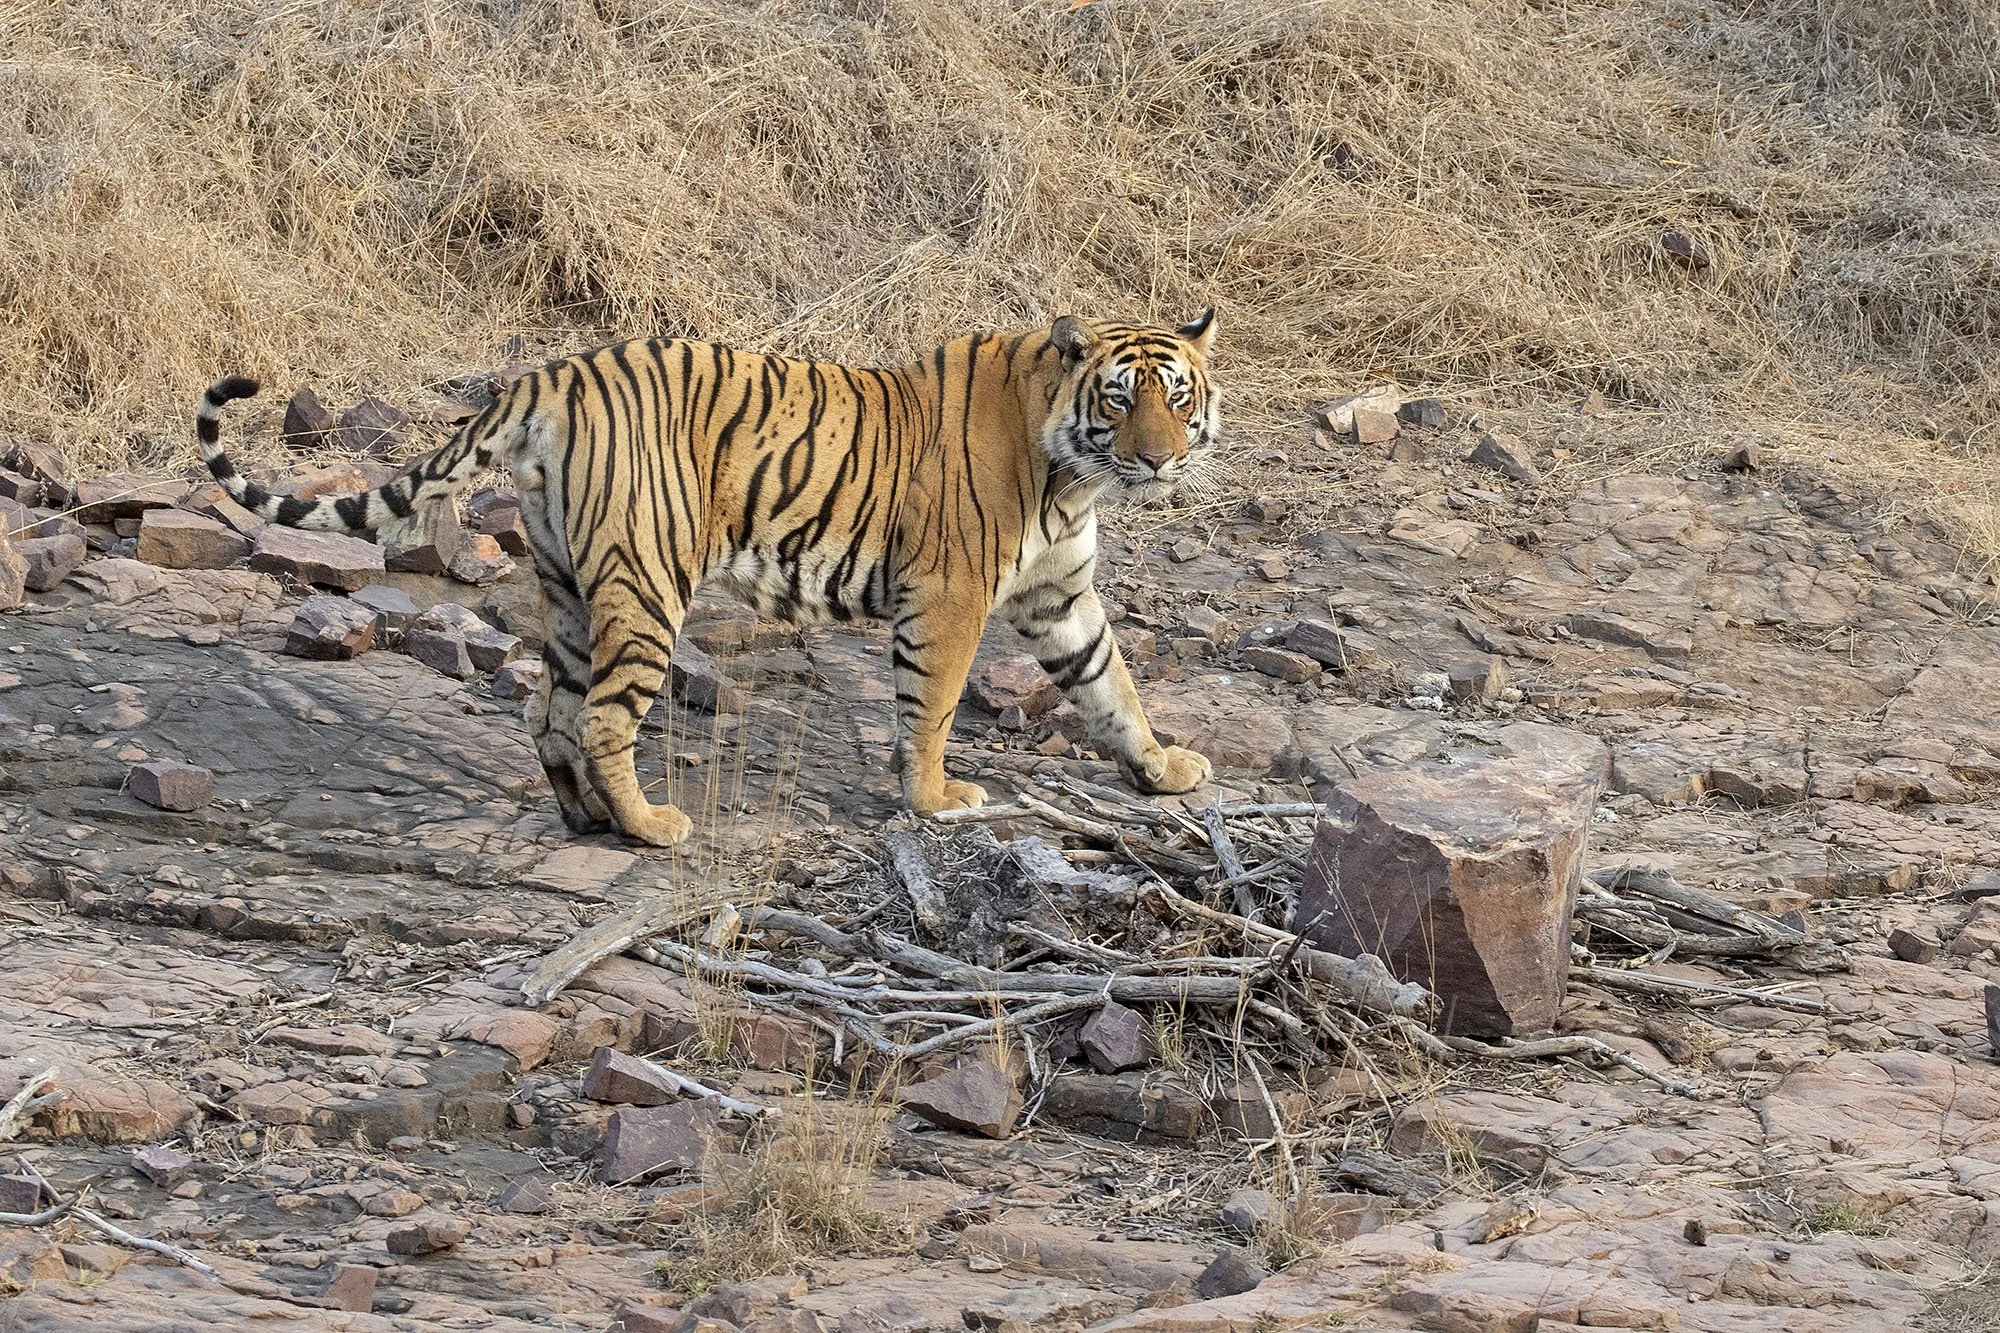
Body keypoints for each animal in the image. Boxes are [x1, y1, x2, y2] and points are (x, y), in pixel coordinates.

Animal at [194, 312, 1221, 846]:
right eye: (1119, 401)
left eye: (1178, 397)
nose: (1161, 460)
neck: (1072, 470)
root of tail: (551, 375)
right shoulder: (951, 596)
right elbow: (929, 708)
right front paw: (934, 799)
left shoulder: (1061, 597)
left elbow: (1112, 684)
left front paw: (1163, 766)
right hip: (649, 580)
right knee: (603, 717)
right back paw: (652, 824)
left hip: (568, 584)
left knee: (550, 710)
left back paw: (589, 818)